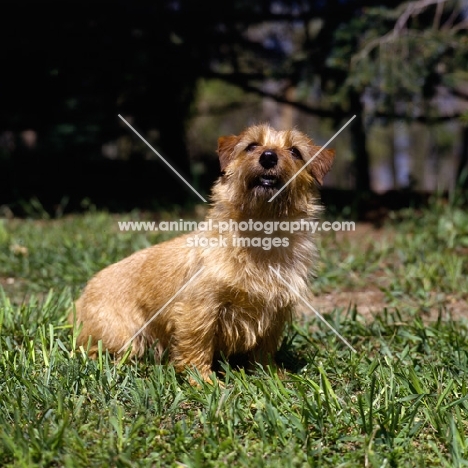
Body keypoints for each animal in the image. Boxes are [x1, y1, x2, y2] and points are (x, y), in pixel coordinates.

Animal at [71, 124, 334, 380]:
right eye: (251, 146)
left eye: (295, 151)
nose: (268, 156)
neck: (261, 237)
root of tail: (81, 297)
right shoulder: (199, 306)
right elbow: (197, 343)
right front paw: (202, 381)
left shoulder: (276, 311)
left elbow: (265, 348)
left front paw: (271, 374)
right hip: (123, 336)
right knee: (96, 353)